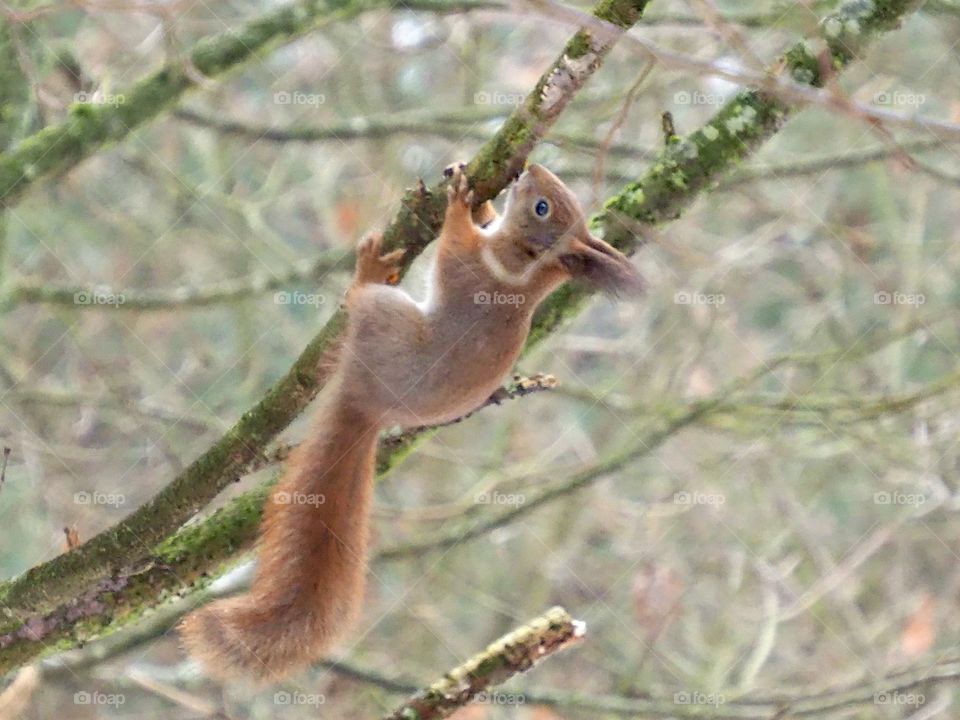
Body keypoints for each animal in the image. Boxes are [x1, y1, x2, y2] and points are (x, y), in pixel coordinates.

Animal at [179, 163, 641, 680]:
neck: (524, 265)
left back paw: (368, 272)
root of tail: (369, 402)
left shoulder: (475, 265)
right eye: (553, 195)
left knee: (361, 299)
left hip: (385, 312)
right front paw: (480, 201)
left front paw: (459, 205)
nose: (530, 170)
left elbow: (455, 243)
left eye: (542, 208)